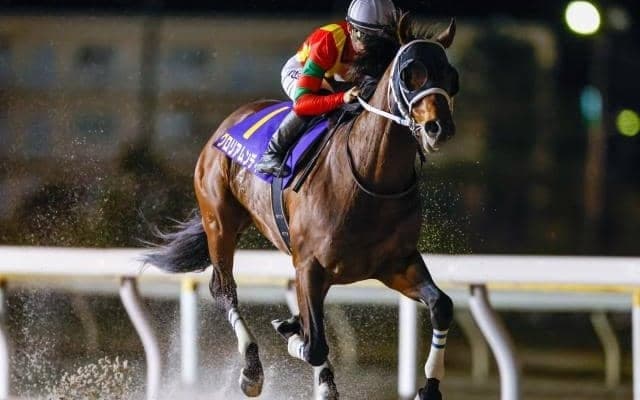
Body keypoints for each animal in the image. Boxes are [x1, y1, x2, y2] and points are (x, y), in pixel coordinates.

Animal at [145, 16, 459, 400]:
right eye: (409, 74)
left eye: (451, 76)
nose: (438, 128)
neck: (371, 179)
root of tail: (232, 119)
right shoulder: (309, 265)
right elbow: (314, 345)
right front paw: (292, 336)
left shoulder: (396, 263)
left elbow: (441, 306)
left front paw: (429, 387)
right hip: (219, 221)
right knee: (223, 289)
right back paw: (253, 368)